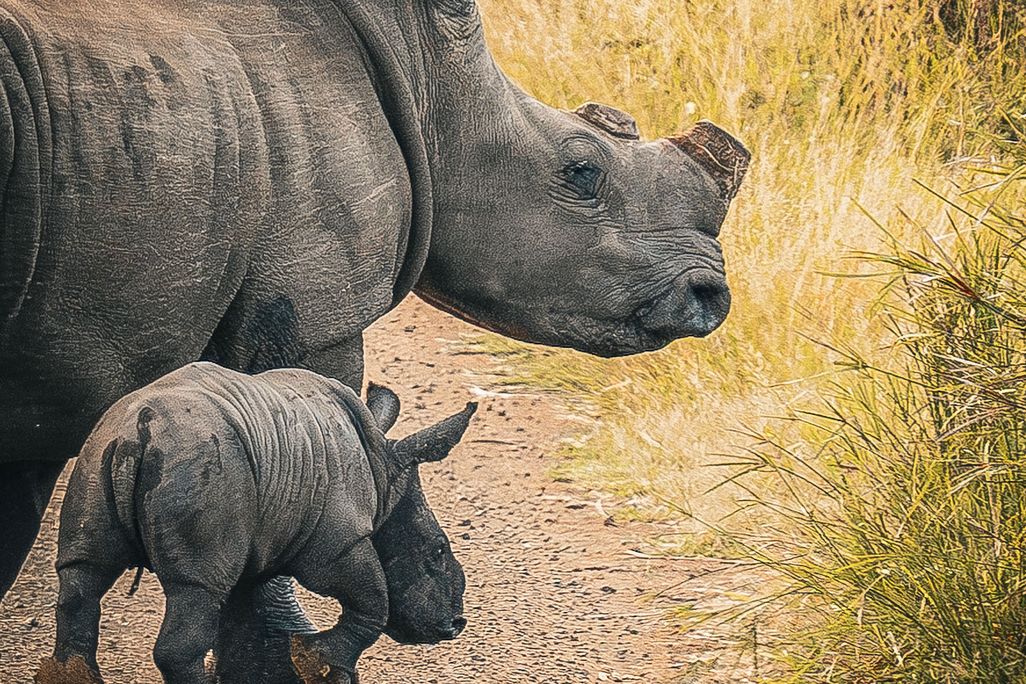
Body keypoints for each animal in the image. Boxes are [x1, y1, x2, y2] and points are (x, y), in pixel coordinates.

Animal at [36, 362, 474, 684]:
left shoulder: (259, 532)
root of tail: (141, 431)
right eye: (437, 551)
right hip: (203, 466)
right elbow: (373, 601)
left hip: (100, 451)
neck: (385, 476)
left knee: (82, 575)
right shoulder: (339, 542)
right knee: (195, 592)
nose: (456, 623)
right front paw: (315, 662)